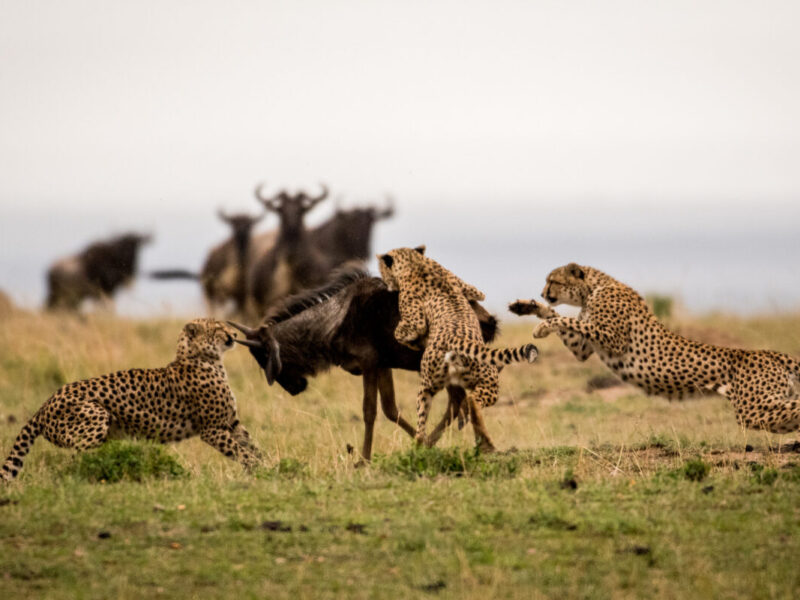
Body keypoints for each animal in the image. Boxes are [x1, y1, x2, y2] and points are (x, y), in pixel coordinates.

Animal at [1, 318, 260, 482]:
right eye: (217, 328)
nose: (234, 335)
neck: (206, 359)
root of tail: (45, 403)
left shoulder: (231, 423)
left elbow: (252, 446)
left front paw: (267, 468)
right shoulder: (211, 429)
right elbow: (241, 452)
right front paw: (259, 471)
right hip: (96, 417)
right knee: (73, 462)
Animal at [380, 245, 540, 450]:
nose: (386, 283)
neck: (415, 263)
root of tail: (456, 339)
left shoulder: (414, 320)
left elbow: (401, 333)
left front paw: (413, 343)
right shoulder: (471, 289)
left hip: (434, 384)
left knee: (443, 408)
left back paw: (422, 443)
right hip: (472, 381)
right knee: (466, 402)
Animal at [510, 264, 800, 434]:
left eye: (553, 281)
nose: (543, 292)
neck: (595, 287)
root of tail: (770, 353)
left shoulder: (613, 339)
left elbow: (566, 319)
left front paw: (542, 327)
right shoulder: (583, 348)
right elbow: (560, 317)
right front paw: (526, 306)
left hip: (753, 407)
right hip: (765, 407)